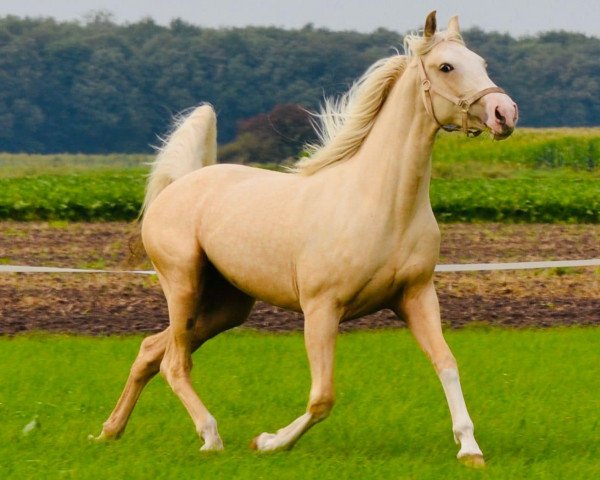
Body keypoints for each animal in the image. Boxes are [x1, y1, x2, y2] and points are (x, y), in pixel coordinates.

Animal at [89, 12, 516, 468]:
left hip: (226, 307)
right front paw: (268, 442)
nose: (504, 113)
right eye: (446, 67)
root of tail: (179, 185)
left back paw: (109, 431)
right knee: (174, 362)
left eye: (481, 62)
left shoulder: (416, 297)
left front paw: (470, 449)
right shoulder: (321, 309)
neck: (381, 205)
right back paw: (210, 436)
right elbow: (322, 397)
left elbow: (447, 364)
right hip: (183, 286)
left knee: (151, 350)